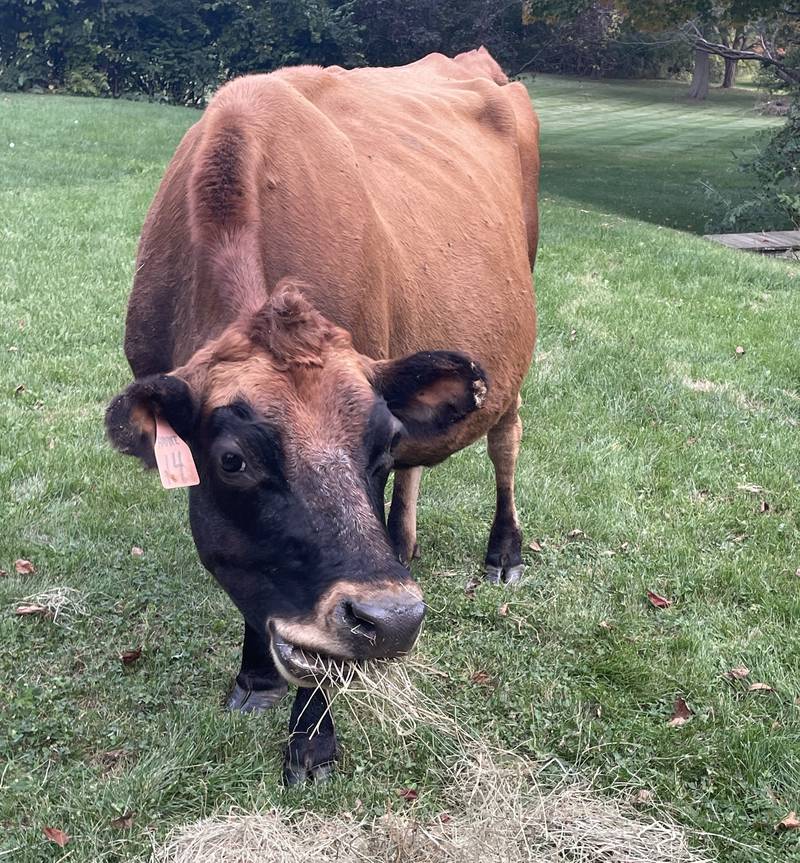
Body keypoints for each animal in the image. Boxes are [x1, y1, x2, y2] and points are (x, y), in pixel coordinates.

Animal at [105, 47, 539, 784]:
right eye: (233, 460)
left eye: (378, 448)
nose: (394, 617)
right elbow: (251, 568)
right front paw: (256, 677)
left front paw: (311, 740)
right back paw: (401, 538)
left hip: (512, 355)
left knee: (504, 441)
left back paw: (503, 550)